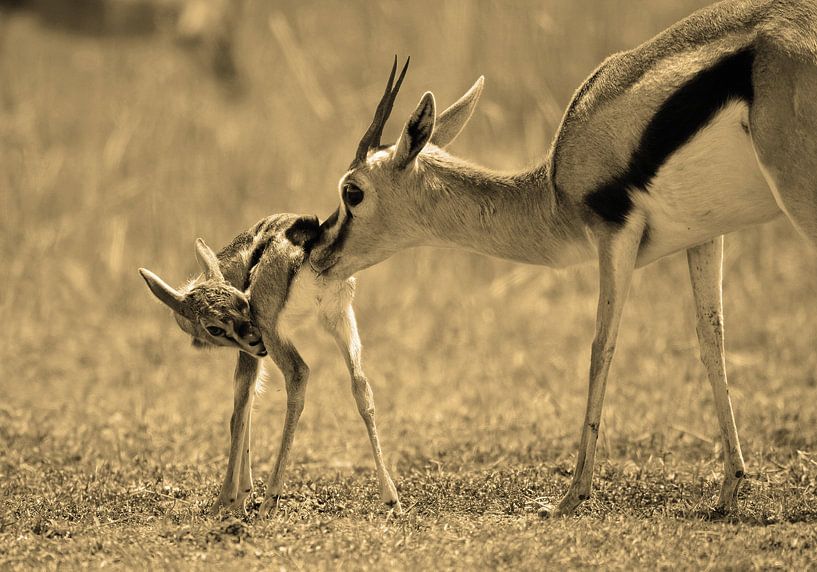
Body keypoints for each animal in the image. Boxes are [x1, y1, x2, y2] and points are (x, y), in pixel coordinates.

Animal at [139, 214, 400, 516]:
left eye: (243, 303)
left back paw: (269, 499)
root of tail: (309, 242)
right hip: (338, 318)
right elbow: (248, 405)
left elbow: (239, 411)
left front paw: (228, 499)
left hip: (274, 335)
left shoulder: (251, 354)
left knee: (298, 373)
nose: (253, 339)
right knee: (360, 385)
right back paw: (391, 497)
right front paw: (243, 494)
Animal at [310, 0, 817, 517]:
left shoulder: (614, 234)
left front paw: (570, 497)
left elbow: (600, 348)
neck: (553, 189)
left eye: (352, 192)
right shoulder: (705, 234)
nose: (316, 250)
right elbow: (712, 340)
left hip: (800, 194)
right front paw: (730, 489)